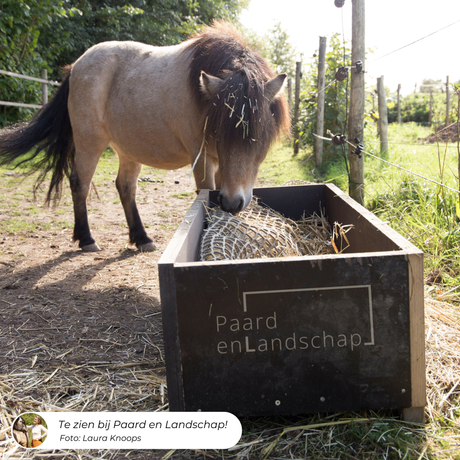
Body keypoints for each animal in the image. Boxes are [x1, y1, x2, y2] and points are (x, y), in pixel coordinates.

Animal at [0, 20, 288, 252]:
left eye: (258, 135)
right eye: (220, 130)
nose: (233, 203)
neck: (202, 96)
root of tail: (75, 67)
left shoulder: (220, 164)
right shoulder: (202, 157)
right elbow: (206, 192)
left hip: (128, 150)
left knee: (125, 187)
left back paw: (141, 238)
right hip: (89, 144)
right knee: (79, 184)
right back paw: (86, 239)